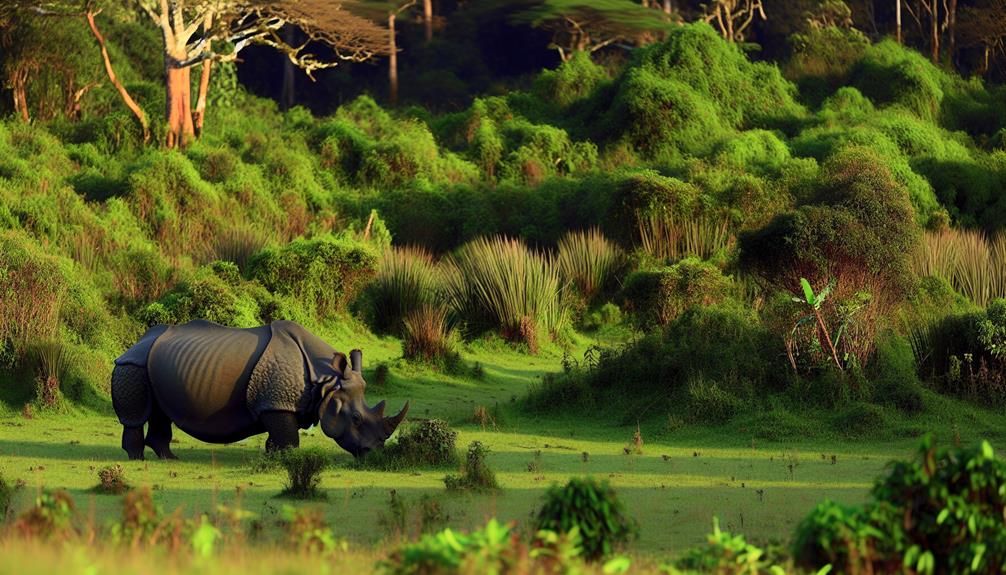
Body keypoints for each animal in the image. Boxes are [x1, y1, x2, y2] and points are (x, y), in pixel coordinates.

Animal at [111, 319, 408, 460]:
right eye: (355, 419)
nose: (374, 452)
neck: (326, 380)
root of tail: (135, 343)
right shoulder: (276, 403)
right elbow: (289, 440)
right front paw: (287, 461)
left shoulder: (278, 405)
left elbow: (278, 438)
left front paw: (272, 457)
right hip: (132, 365)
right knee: (137, 416)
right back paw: (138, 459)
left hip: (156, 365)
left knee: (161, 413)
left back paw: (169, 459)